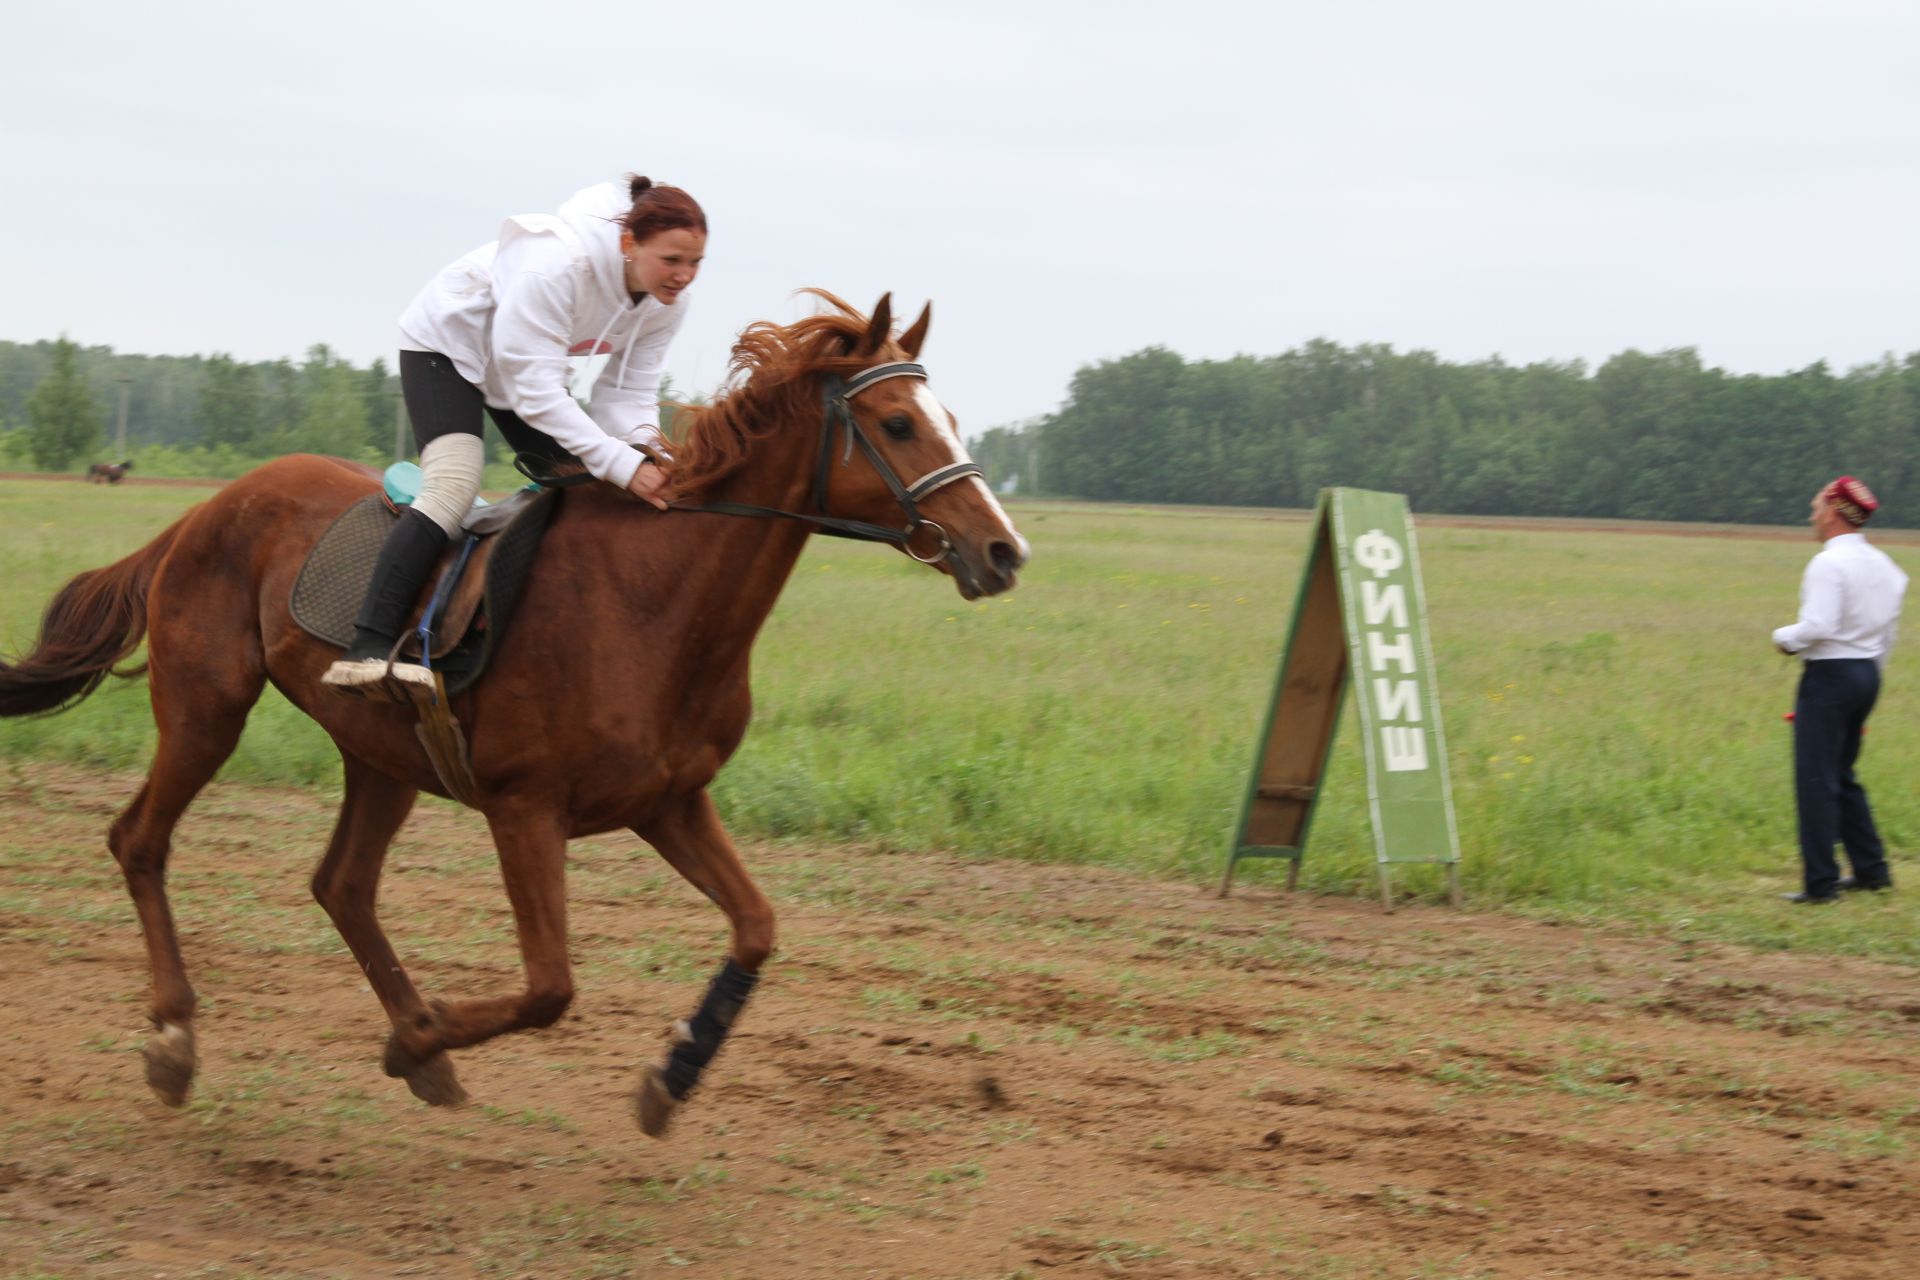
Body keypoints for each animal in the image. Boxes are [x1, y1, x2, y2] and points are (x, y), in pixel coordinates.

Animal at [0, 295, 1029, 1136]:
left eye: (950, 418)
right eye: (896, 423)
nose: (1003, 550)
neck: (660, 603)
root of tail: (206, 511)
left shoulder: (671, 802)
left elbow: (757, 927)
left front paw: (670, 1076)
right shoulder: (524, 810)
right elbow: (550, 988)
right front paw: (416, 1042)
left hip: (382, 753)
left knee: (342, 885)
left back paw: (421, 1049)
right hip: (208, 706)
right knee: (141, 841)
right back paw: (178, 1039)